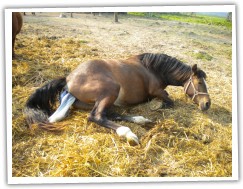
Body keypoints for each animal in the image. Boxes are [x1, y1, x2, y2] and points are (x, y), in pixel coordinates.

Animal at [24, 52, 211, 145]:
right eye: (199, 82)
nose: (207, 104)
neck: (152, 69)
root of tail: (68, 80)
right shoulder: (156, 91)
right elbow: (169, 100)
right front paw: (158, 106)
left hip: (99, 100)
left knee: (109, 114)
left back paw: (141, 120)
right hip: (110, 90)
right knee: (96, 116)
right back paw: (128, 133)